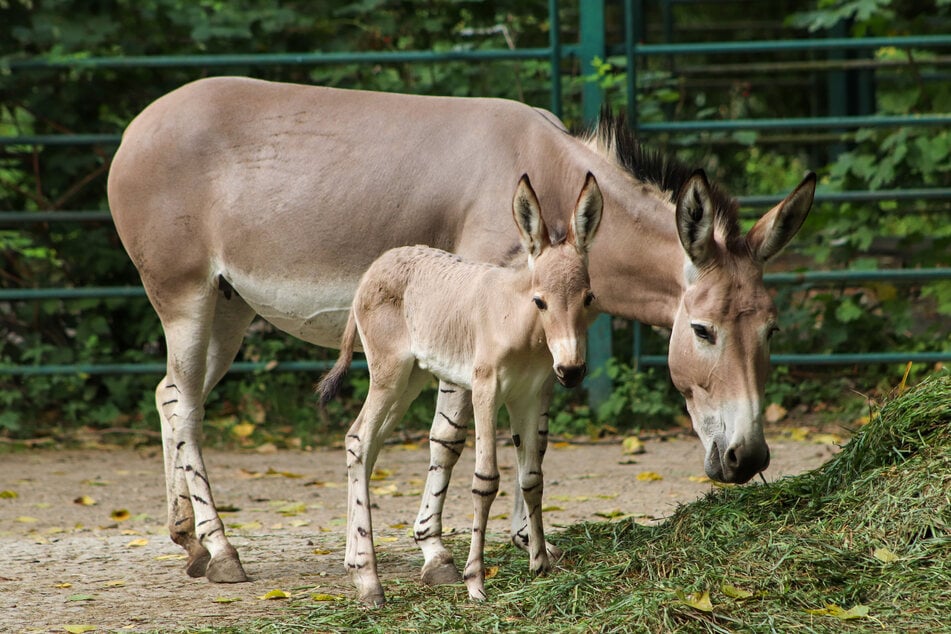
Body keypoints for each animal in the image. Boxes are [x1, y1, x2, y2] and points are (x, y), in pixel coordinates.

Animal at [320, 172, 604, 604]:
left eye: (588, 298)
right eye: (539, 301)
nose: (571, 371)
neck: (519, 323)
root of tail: (377, 266)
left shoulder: (530, 396)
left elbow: (532, 477)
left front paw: (540, 565)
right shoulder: (486, 390)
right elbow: (486, 481)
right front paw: (475, 581)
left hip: (411, 380)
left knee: (367, 446)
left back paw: (355, 565)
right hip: (388, 375)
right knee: (358, 439)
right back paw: (370, 582)